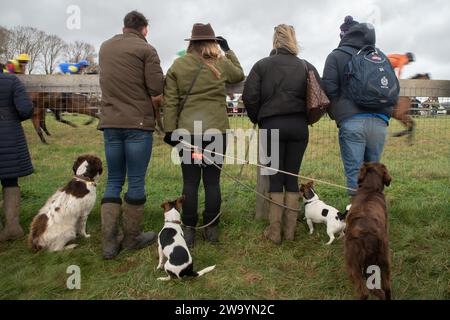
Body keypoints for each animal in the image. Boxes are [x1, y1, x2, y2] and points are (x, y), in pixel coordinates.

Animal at [346, 162, 392, 300]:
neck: (370, 189)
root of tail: (367, 236)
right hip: (384, 259)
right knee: (386, 287)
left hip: (354, 265)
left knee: (364, 292)